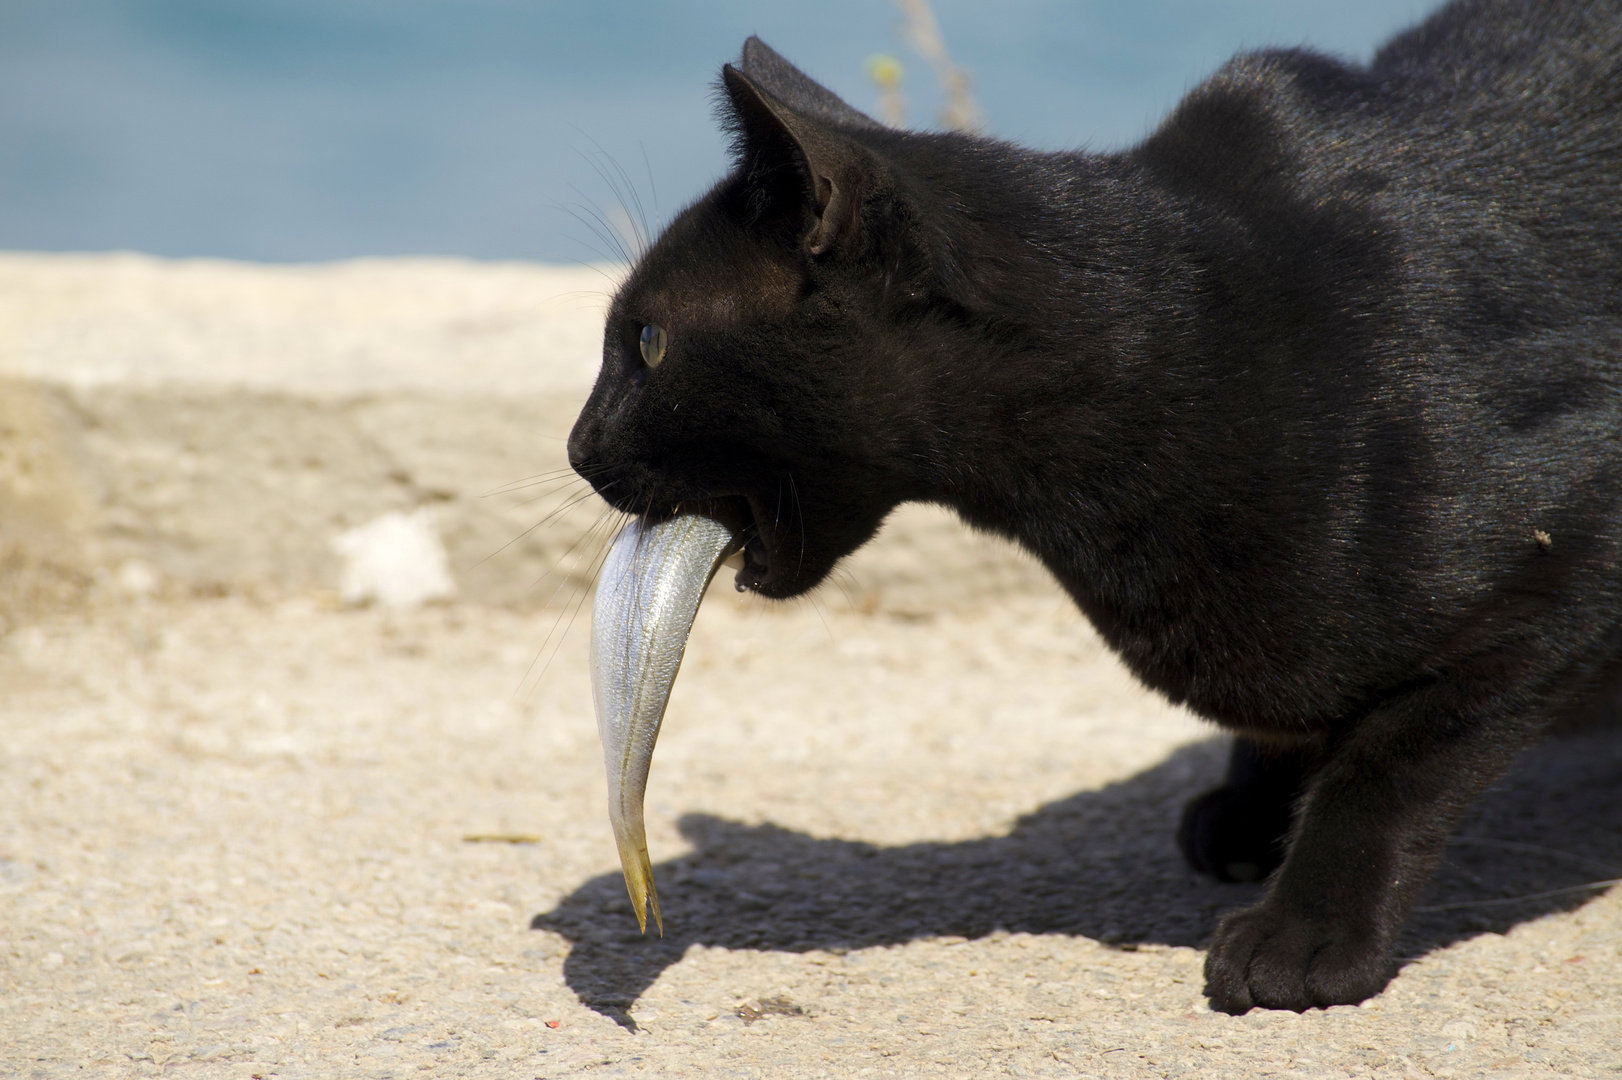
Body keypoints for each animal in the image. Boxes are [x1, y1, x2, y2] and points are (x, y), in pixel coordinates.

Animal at [564, 0, 1615, 1011]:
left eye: (647, 344)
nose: (576, 448)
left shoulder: (1553, 580)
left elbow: (1389, 768)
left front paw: (1304, 937)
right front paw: (1253, 807)